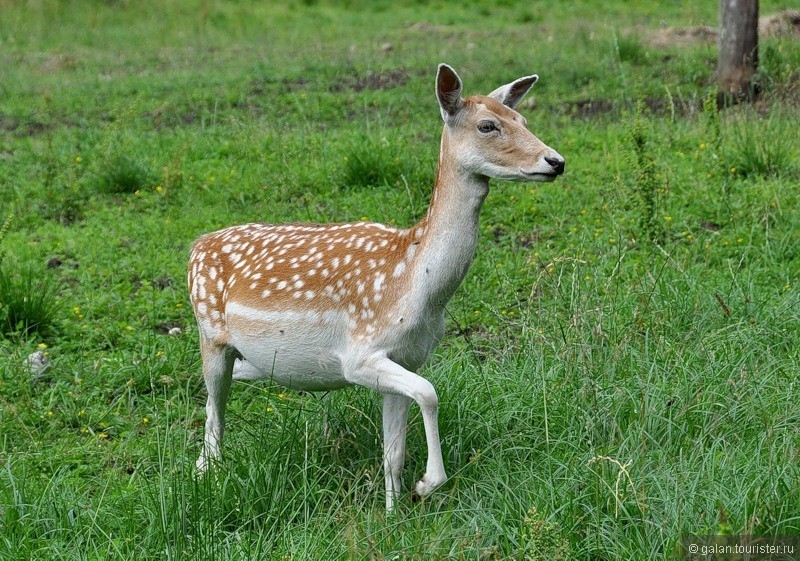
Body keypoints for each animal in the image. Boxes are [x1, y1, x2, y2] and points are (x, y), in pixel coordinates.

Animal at [187, 63, 564, 510]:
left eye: (522, 119)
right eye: (488, 125)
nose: (556, 161)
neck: (417, 286)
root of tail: (195, 246)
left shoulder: (407, 358)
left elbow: (394, 449)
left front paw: (393, 512)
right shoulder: (360, 354)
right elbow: (430, 394)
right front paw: (427, 484)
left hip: (250, 355)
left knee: (233, 381)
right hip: (210, 334)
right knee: (213, 412)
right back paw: (208, 478)